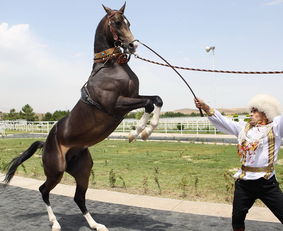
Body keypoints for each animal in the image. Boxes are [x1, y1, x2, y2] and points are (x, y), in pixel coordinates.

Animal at [3, 4, 164, 231]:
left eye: (129, 22)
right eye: (117, 22)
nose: (133, 45)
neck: (110, 67)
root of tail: (45, 142)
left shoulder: (133, 98)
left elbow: (156, 99)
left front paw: (146, 130)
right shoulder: (115, 105)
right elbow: (150, 103)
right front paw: (137, 132)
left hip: (83, 170)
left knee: (79, 197)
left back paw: (96, 225)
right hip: (56, 170)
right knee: (43, 190)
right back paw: (55, 223)